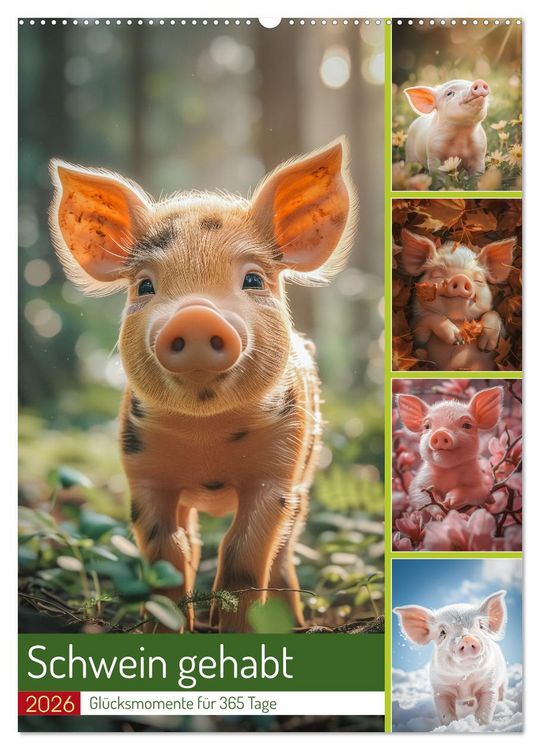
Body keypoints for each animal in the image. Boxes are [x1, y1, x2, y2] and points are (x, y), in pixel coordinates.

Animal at [48, 138, 356, 632]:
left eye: (253, 279)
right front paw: (164, 630)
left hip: (305, 486)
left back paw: (296, 622)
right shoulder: (143, 473)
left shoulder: (279, 472)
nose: (195, 315)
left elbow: (244, 549)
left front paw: (236, 629)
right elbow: (168, 550)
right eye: (145, 286)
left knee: (286, 548)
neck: (206, 438)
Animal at [394, 590, 508, 727]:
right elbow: (445, 714)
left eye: (481, 626)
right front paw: (452, 725)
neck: (465, 682)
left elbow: (486, 709)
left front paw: (480, 725)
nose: (467, 638)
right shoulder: (440, 690)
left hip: (504, 678)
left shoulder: (489, 684)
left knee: (502, 690)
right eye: (442, 632)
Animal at [396, 385, 503, 513]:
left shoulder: (481, 483)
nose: (441, 433)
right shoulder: (421, 480)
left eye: (467, 425)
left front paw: (449, 502)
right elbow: (419, 493)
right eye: (427, 426)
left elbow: (479, 492)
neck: (449, 471)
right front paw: (442, 512)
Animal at [400, 228, 516, 371]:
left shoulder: (505, 338)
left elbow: (493, 314)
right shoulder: (416, 337)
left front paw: (485, 348)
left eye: (479, 280)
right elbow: (427, 320)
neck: (458, 320)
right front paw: (457, 339)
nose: (460, 277)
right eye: (437, 275)